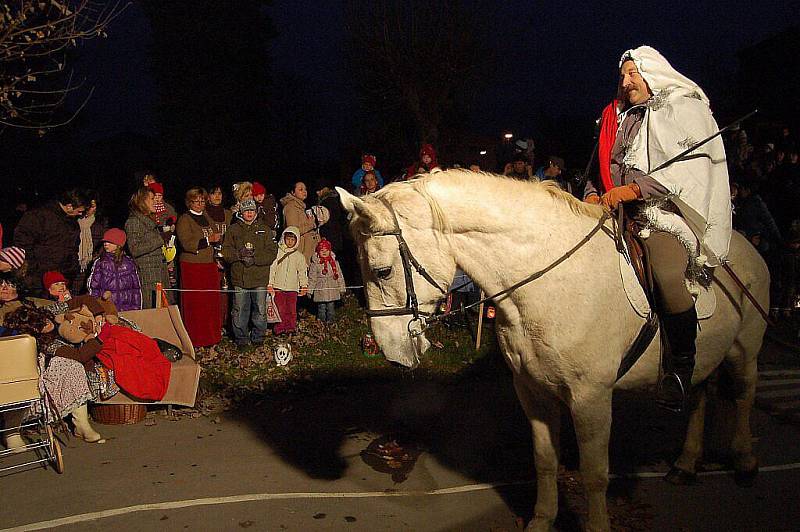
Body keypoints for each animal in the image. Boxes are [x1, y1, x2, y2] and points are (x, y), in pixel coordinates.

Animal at [334, 171, 764, 532]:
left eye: (383, 271)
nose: (389, 350)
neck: (548, 282)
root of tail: (746, 246)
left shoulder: (591, 398)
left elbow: (594, 473)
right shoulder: (532, 390)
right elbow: (544, 460)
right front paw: (542, 520)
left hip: (745, 349)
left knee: (744, 394)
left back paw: (745, 462)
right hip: (707, 357)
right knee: (700, 395)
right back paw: (686, 464)